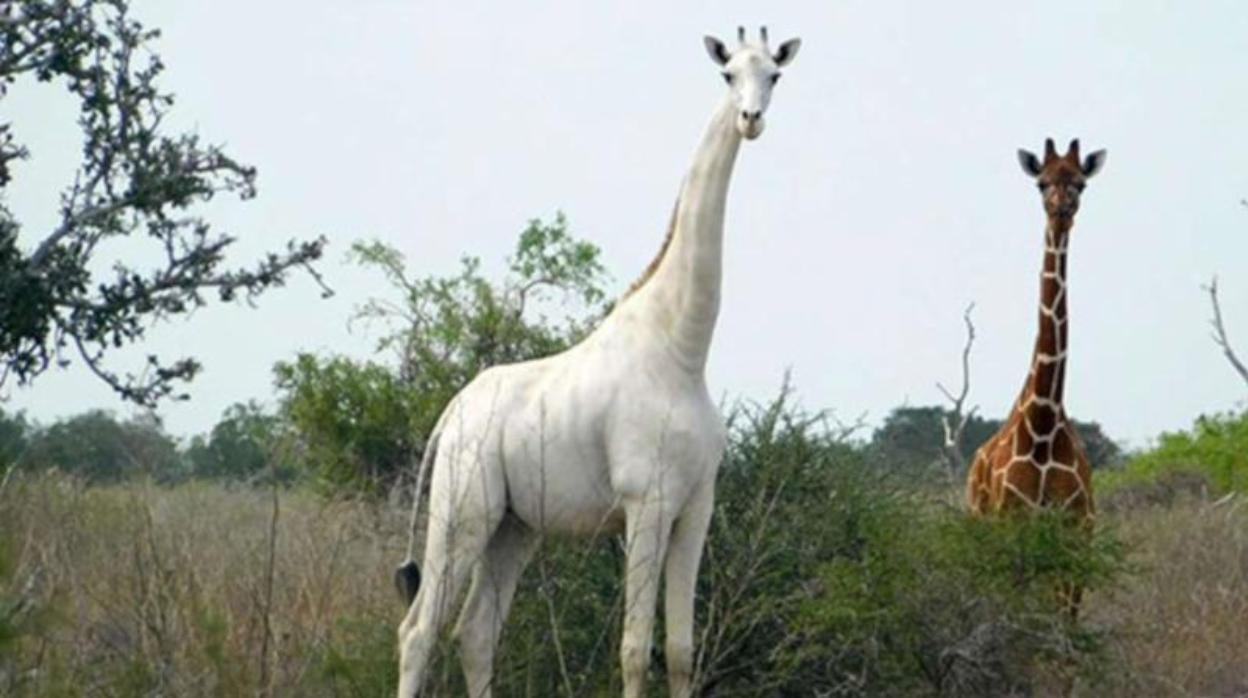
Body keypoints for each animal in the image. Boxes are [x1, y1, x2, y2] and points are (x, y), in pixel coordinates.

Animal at [391, 27, 798, 698]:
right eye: (727, 74)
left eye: (774, 75)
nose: (751, 120)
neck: (683, 351)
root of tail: (450, 414)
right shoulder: (646, 503)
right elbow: (634, 649)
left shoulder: (697, 508)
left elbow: (680, 650)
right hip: (463, 510)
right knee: (418, 632)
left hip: (515, 526)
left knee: (475, 632)